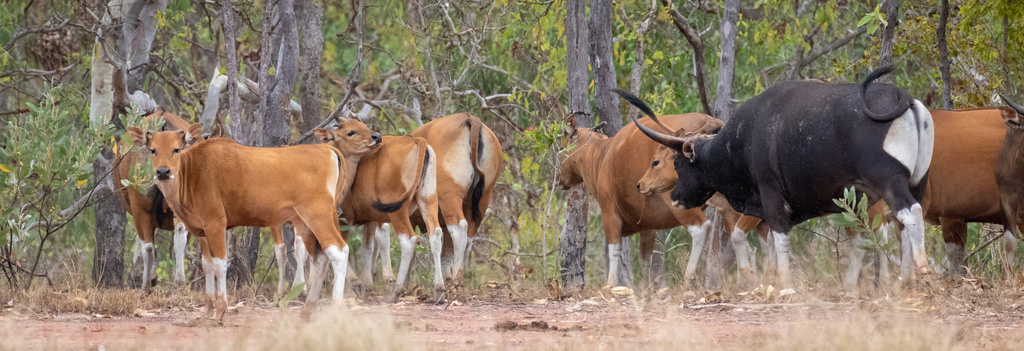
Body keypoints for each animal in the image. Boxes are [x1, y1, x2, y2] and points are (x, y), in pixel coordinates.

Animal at [126, 127, 352, 323]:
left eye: (176, 149)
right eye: (153, 149)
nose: (163, 172)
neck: (193, 172)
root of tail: (326, 149)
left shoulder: (216, 224)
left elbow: (220, 264)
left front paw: (220, 311)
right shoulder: (202, 231)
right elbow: (207, 265)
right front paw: (207, 311)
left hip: (317, 215)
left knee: (339, 251)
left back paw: (335, 307)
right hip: (303, 222)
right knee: (320, 257)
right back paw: (308, 310)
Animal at [409, 114, 501, 284]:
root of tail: (469, 118)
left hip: (449, 197)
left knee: (459, 229)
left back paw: (456, 278)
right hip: (483, 197)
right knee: (469, 235)